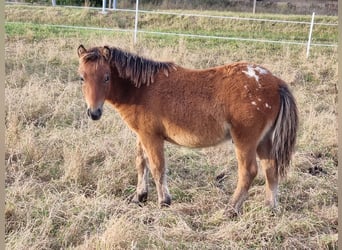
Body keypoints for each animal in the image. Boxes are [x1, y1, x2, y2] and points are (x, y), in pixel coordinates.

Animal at [77, 44, 296, 213]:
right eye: (82, 78)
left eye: (106, 77)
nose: (94, 113)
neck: (141, 90)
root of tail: (276, 82)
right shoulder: (142, 135)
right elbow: (141, 162)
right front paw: (139, 196)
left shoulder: (151, 137)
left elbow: (157, 167)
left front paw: (164, 201)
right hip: (264, 141)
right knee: (270, 168)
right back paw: (270, 207)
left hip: (245, 141)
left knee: (248, 172)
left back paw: (231, 209)